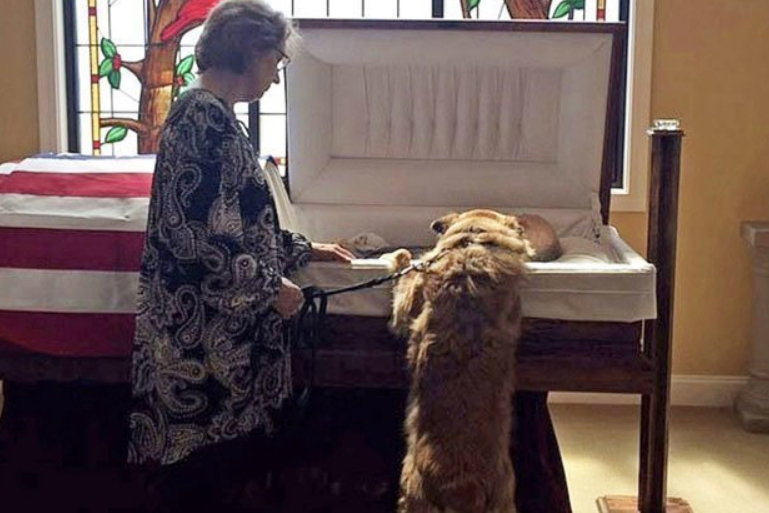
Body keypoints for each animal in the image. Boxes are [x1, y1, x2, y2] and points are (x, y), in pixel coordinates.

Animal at [391, 209, 538, 513]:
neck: (473, 243)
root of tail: (460, 489)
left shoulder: (406, 306)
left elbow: (405, 276)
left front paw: (402, 256)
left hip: (411, 493)